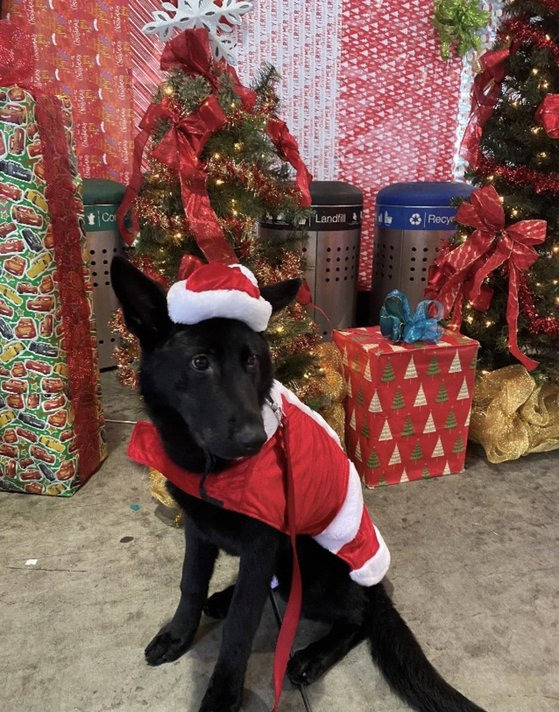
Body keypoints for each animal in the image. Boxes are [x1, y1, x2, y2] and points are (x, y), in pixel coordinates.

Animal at [110, 256, 486, 712]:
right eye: (200, 363)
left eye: (252, 361)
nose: (255, 440)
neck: (208, 465)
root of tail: (378, 587)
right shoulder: (199, 530)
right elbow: (190, 584)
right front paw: (179, 635)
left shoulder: (261, 545)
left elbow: (240, 629)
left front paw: (222, 695)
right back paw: (224, 598)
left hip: (310, 565)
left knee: (357, 615)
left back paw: (314, 654)